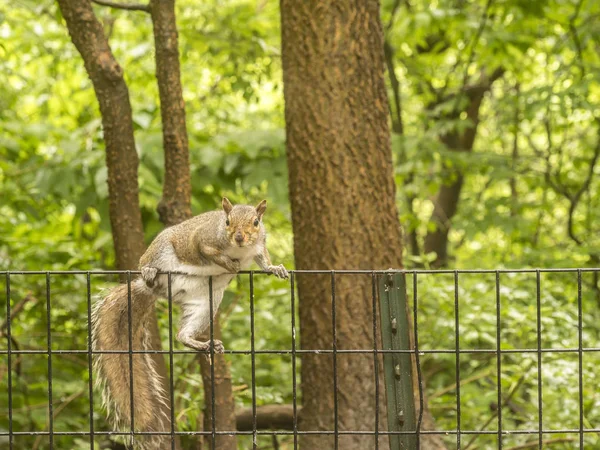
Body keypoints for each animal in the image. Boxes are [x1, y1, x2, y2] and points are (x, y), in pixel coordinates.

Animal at [92, 199, 290, 448]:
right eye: (227, 221)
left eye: (256, 222)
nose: (239, 237)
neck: (240, 248)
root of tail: (156, 288)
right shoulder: (203, 238)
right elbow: (207, 251)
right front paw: (230, 264)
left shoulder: (259, 244)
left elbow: (264, 259)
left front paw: (275, 268)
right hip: (161, 250)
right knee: (146, 263)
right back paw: (148, 270)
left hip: (207, 303)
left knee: (182, 335)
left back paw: (202, 343)